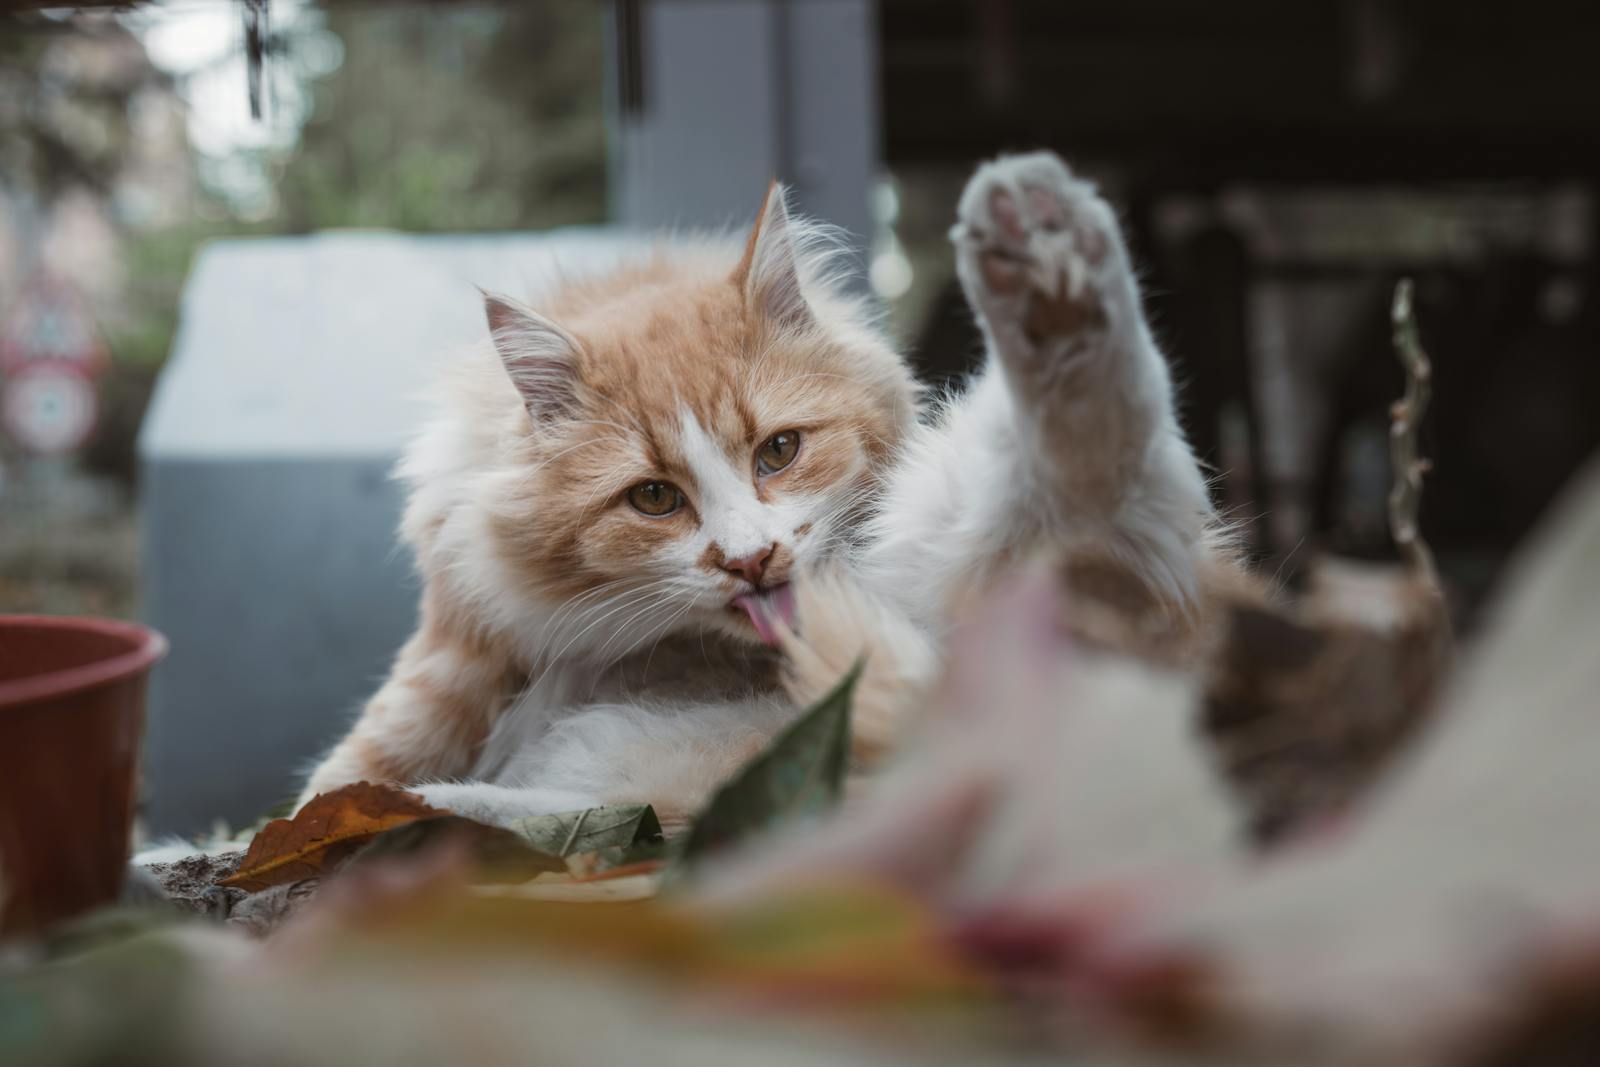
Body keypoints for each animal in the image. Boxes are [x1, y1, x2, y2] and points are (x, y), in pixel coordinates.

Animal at [294, 154, 1228, 831]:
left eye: (779, 451)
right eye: (653, 498)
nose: (751, 560)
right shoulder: (456, 648)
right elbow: (344, 779)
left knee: (1089, 468)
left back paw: (1049, 264)